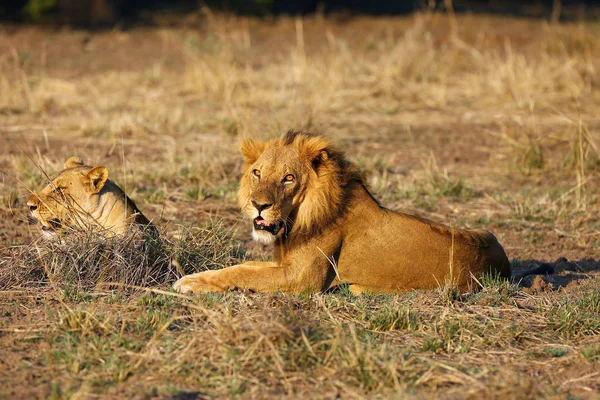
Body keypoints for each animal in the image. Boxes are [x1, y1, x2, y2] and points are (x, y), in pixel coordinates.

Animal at [173, 131, 510, 294]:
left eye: (288, 178)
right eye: (257, 173)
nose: (259, 205)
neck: (296, 219)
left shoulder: (301, 280)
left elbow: (243, 273)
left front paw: (189, 285)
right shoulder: (284, 263)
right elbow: (241, 266)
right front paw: (192, 278)